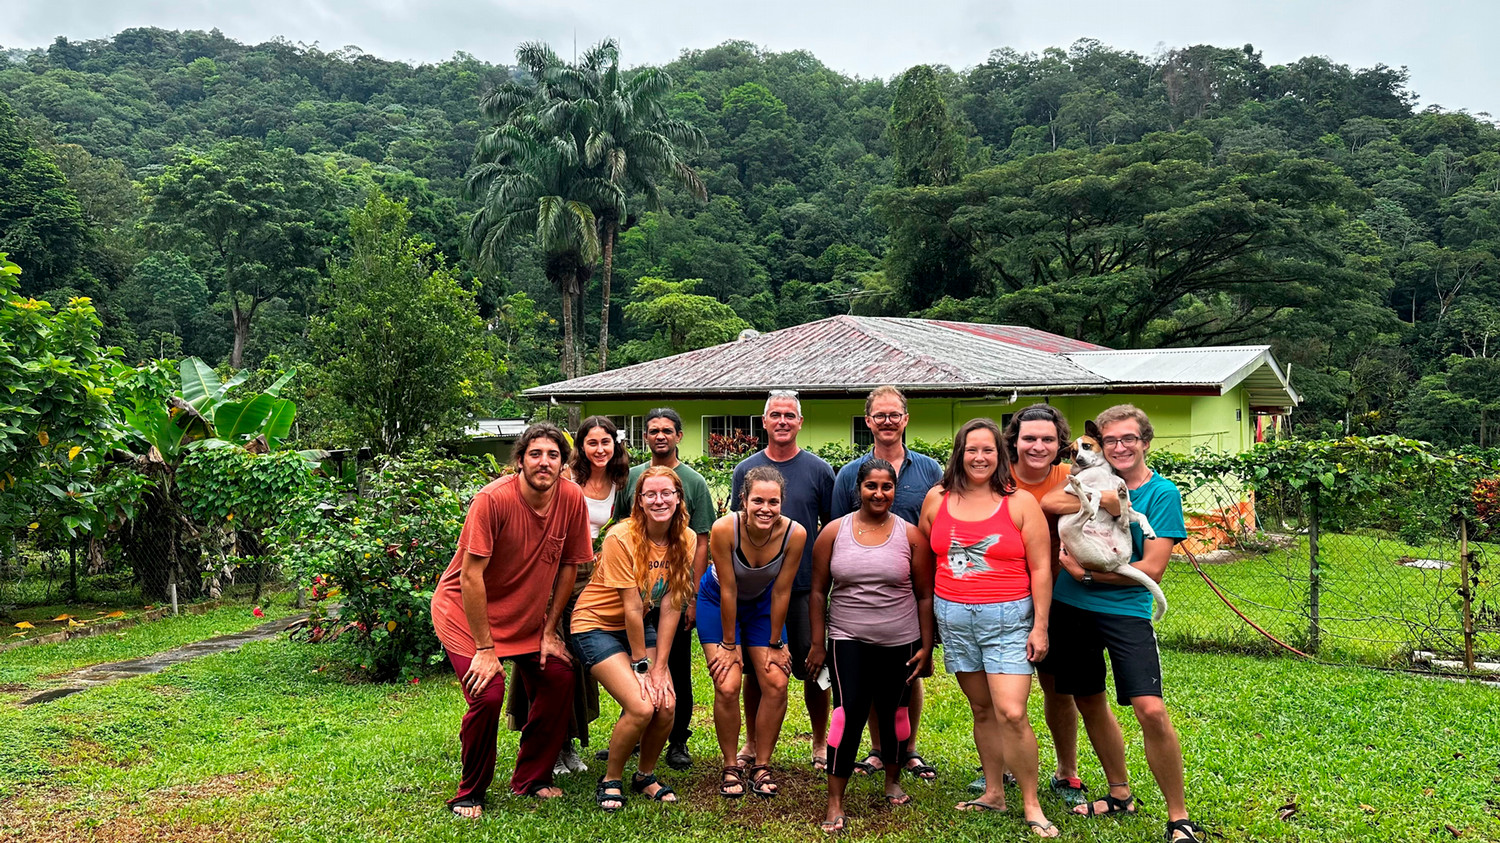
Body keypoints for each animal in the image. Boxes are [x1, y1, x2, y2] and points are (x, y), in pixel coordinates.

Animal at [1056, 420, 1170, 618]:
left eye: (1086, 446)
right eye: (1073, 452)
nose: (1079, 460)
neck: (1103, 472)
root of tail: (1117, 565)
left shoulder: (1127, 509)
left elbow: (1140, 514)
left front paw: (1149, 529)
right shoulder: (1067, 490)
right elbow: (1098, 492)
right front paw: (1095, 504)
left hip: (1119, 531)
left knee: (1123, 521)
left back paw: (1121, 494)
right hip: (1069, 528)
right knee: (1086, 509)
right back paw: (1084, 493)